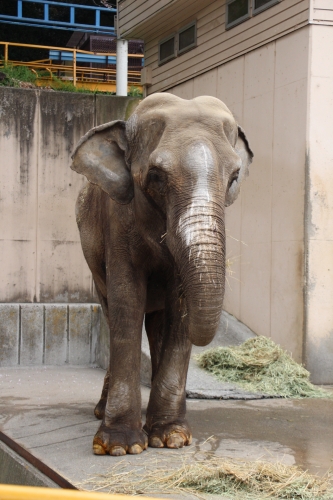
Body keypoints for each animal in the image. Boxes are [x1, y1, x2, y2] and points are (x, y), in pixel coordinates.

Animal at [70, 93, 252, 458]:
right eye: (156, 176)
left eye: (234, 177)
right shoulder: (118, 219)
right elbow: (128, 301)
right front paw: (120, 446)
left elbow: (178, 312)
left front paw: (172, 438)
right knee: (112, 313)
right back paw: (101, 411)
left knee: (156, 323)